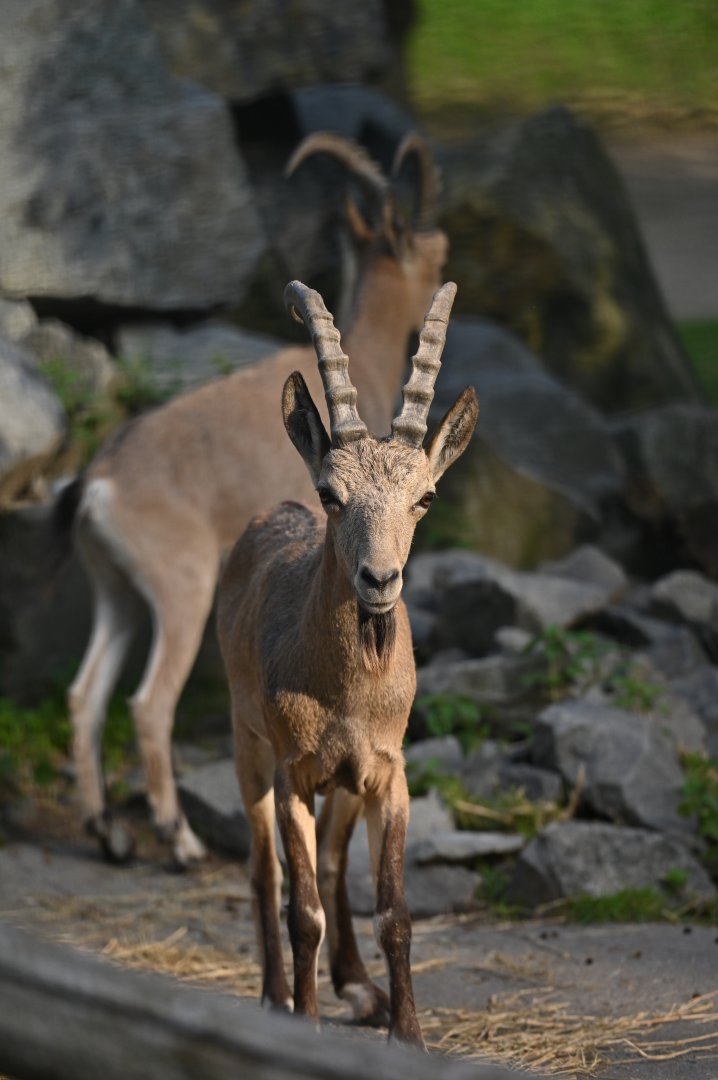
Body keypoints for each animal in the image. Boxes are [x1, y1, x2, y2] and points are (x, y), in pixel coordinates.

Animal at [63, 134, 448, 865]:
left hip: (115, 592)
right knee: (148, 703)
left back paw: (107, 832)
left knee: (85, 694)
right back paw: (179, 840)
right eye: (433, 250)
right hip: (181, 592)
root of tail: (99, 486)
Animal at [217, 279, 478, 1046]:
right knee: (264, 871)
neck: (346, 688)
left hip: (347, 782)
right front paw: (304, 1023)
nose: (379, 580)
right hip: (248, 748)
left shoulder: (387, 773)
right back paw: (277, 996)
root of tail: (269, 515)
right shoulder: (293, 772)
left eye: (425, 496)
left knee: (332, 862)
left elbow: (393, 910)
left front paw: (407, 1034)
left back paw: (360, 989)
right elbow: (301, 908)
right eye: (332, 494)